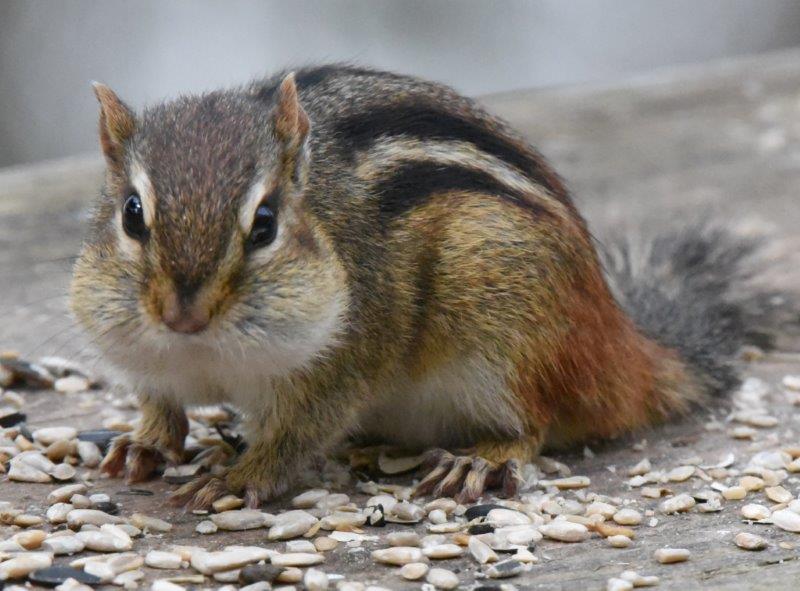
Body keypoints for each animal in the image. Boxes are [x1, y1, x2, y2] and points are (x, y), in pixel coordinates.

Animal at [70, 64, 776, 508]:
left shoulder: (342, 362)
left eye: (264, 224)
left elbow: (297, 433)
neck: (204, 353)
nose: (182, 315)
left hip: (502, 326)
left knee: (537, 422)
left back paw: (481, 457)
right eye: (132, 213)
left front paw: (241, 476)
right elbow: (161, 404)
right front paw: (143, 443)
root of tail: (617, 342)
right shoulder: (146, 359)